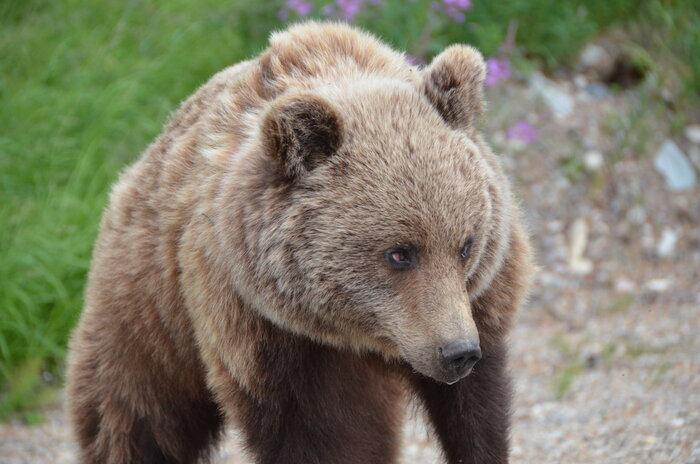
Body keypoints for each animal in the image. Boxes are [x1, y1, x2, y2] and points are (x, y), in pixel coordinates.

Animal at [67, 20, 536, 464]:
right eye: (400, 253)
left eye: (466, 245)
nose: (457, 351)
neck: (355, 336)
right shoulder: (271, 340)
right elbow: (323, 436)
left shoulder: (478, 305)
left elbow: (475, 412)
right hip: (148, 309)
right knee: (133, 411)